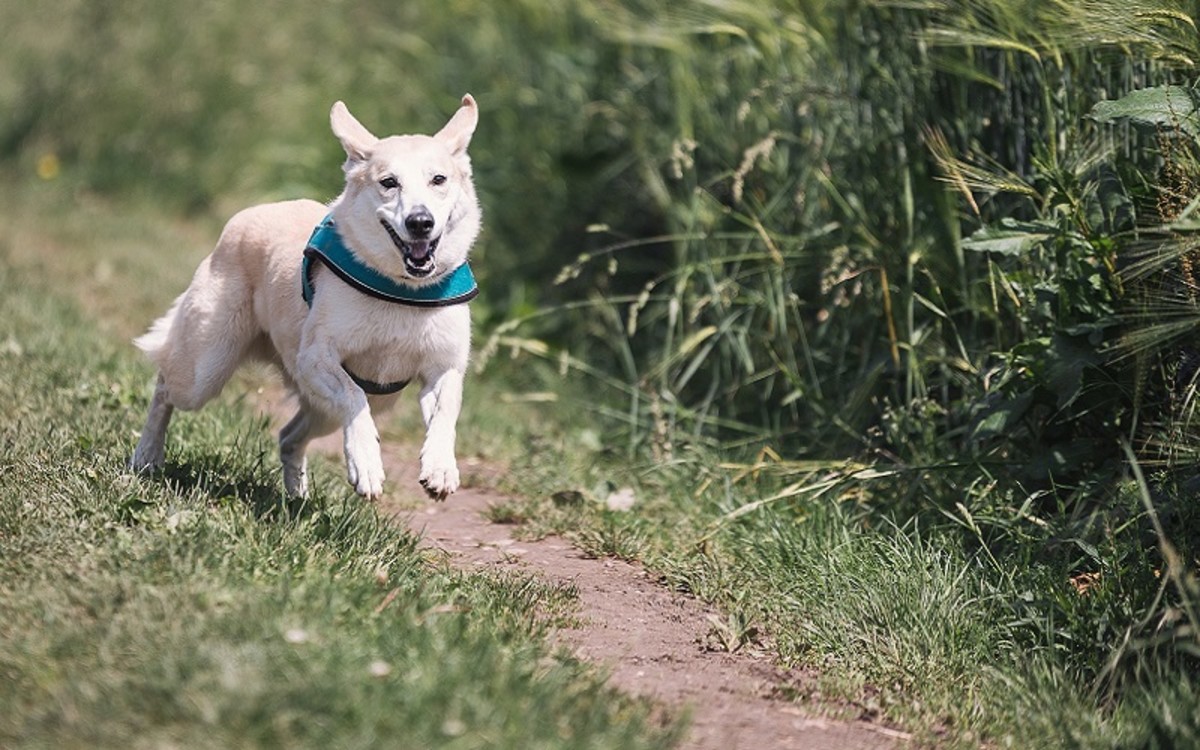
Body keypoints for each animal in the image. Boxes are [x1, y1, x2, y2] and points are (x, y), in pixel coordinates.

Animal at [132, 94, 482, 504]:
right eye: (388, 183)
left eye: (438, 179)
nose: (420, 222)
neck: (401, 291)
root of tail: (248, 214)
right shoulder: (317, 358)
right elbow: (353, 397)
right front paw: (366, 464)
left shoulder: (443, 368)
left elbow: (445, 414)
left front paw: (440, 468)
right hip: (205, 368)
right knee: (165, 388)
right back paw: (146, 456)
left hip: (328, 408)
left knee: (288, 436)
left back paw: (297, 497)